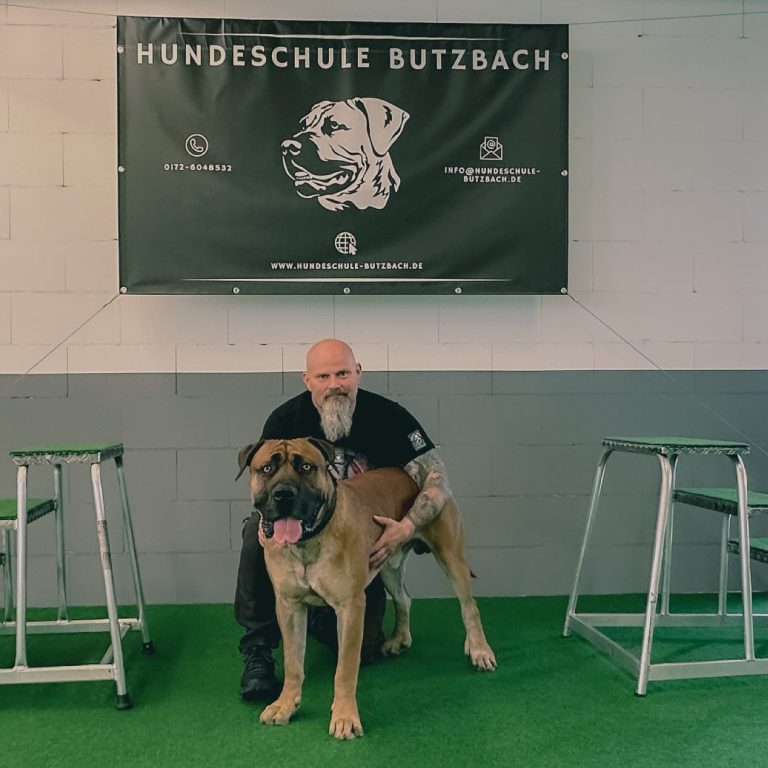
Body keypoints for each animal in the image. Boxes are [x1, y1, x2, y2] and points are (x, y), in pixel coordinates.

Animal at [237, 438, 496, 736]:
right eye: (267, 468)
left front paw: (345, 717)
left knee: (469, 607)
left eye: (306, 467)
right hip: (388, 563)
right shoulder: (289, 606)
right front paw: (286, 704)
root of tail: (414, 475)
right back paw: (399, 639)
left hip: (450, 554)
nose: (284, 494)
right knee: (404, 599)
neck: (307, 543)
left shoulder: (350, 606)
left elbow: (345, 668)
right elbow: (293, 662)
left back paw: (479, 650)